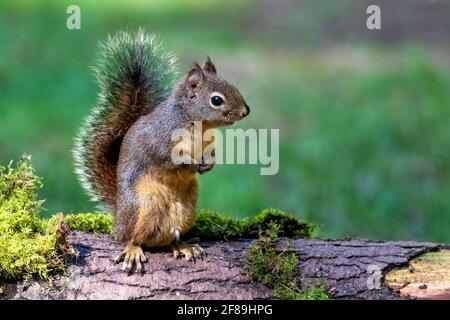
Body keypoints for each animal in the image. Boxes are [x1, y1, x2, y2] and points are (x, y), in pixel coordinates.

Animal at [73, 30, 250, 272]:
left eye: (233, 86)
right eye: (216, 100)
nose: (245, 111)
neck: (197, 124)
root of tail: (118, 218)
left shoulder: (208, 144)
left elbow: (211, 155)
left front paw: (209, 164)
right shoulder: (160, 141)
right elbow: (168, 158)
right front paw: (190, 163)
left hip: (185, 208)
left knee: (167, 238)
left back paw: (182, 246)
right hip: (144, 205)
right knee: (134, 237)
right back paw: (133, 249)